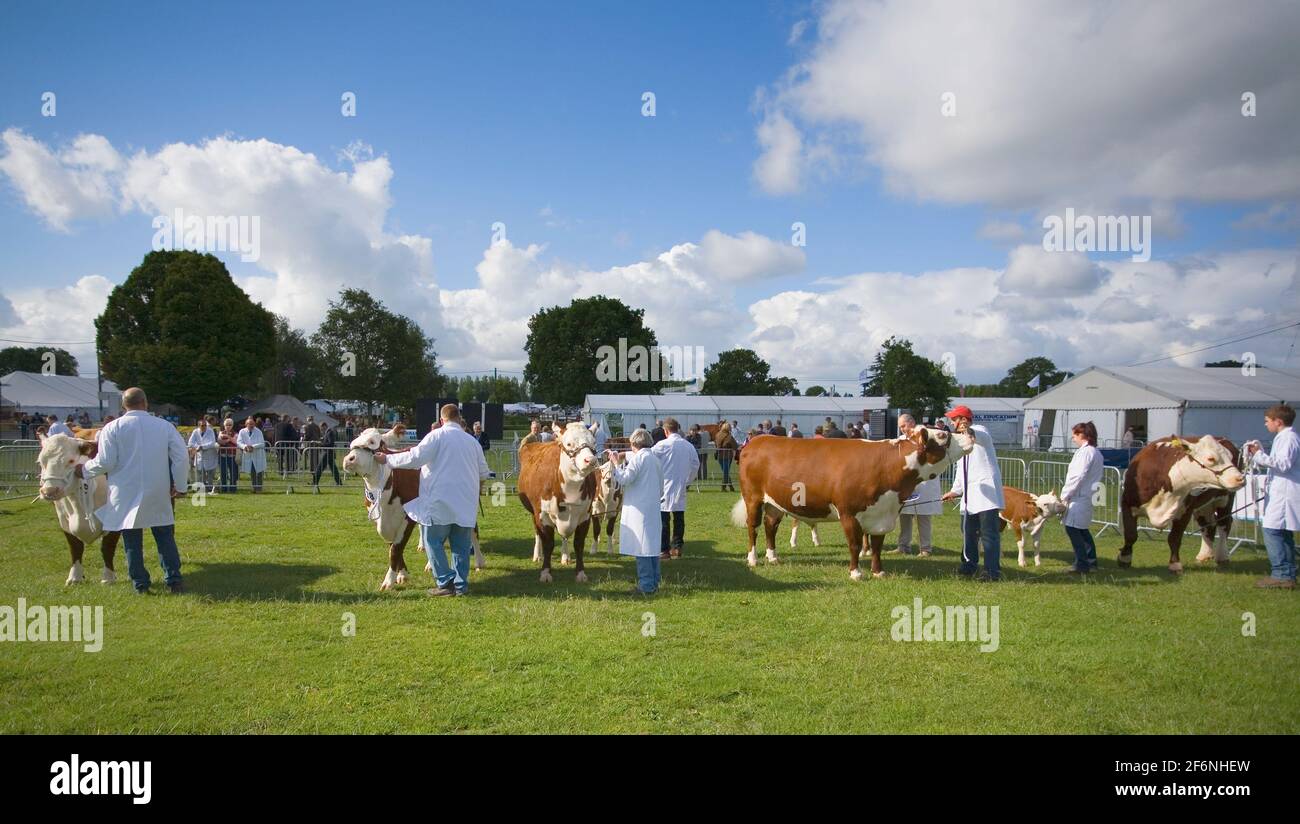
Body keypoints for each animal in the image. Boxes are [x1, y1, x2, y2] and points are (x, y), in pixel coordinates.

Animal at [517, 421, 598, 579]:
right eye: (569, 443)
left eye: (593, 443)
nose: (590, 460)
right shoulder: (542, 514)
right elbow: (548, 543)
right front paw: (545, 573)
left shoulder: (585, 515)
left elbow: (578, 543)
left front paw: (580, 573)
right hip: (533, 511)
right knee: (537, 533)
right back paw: (537, 555)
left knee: (565, 537)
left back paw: (565, 557)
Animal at [728, 423, 972, 577]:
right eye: (942, 436)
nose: (969, 433)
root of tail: (756, 441)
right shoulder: (848, 512)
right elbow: (854, 544)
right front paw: (856, 573)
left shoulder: (881, 513)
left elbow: (876, 546)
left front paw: (878, 572)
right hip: (753, 498)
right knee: (753, 527)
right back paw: (753, 559)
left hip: (775, 503)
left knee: (770, 526)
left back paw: (773, 557)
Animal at [1112, 434, 1242, 574]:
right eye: (1211, 458)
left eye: (1229, 457)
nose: (1240, 478)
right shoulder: (1127, 503)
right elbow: (1130, 535)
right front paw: (1124, 559)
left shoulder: (1185, 511)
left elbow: (1175, 538)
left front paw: (1175, 564)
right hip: (1204, 506)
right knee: (1208, 525)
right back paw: (1204, 555)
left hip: (1226, 499)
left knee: (1224, 523)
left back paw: (1222, 557)